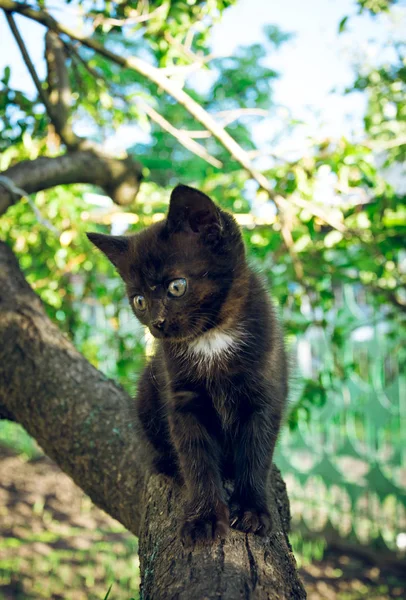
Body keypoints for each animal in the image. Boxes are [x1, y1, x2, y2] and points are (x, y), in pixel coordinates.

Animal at [87, 185, 288, 548]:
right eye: (139, 301)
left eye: (176, 286)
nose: (157, 324)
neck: (211, 338)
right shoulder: (182, 398)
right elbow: (196, 458)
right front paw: (204, 517)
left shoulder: (264, 393)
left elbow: (257, 451)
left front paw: (252, 509)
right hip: (148, 386)